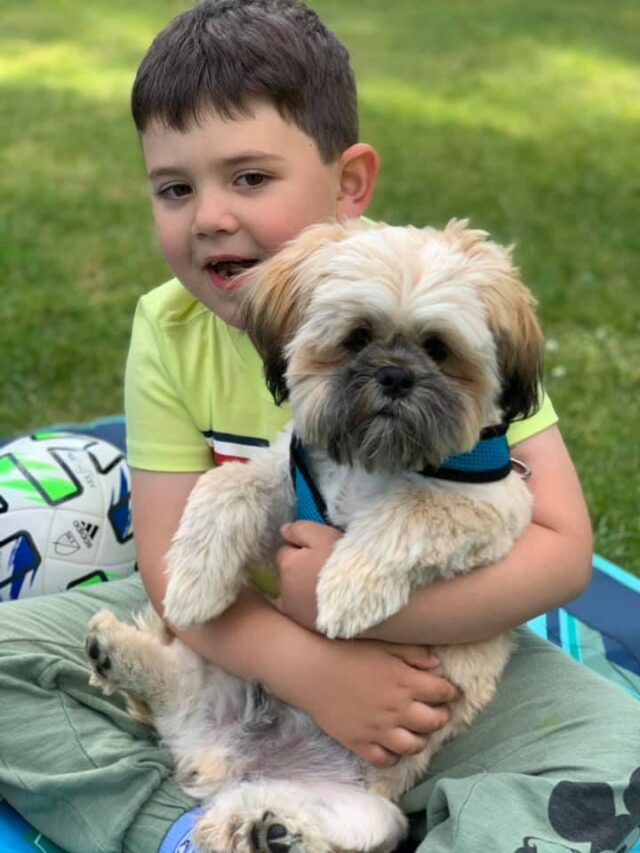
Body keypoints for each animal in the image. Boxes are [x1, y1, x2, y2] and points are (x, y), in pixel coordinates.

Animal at [85, 220, 544, 852]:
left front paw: (346, 593)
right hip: (218, 681)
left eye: (438, 348)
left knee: (292, 826)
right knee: (171, 689)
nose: (395, 375)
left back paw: (267, 831)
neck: (372, 462)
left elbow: (410, 508)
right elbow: (225, 488)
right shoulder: (284, 477)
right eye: (357, 337)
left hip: (367, 813)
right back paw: (113, 654)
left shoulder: (492, 506)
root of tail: (224, 760)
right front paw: (193, 586)